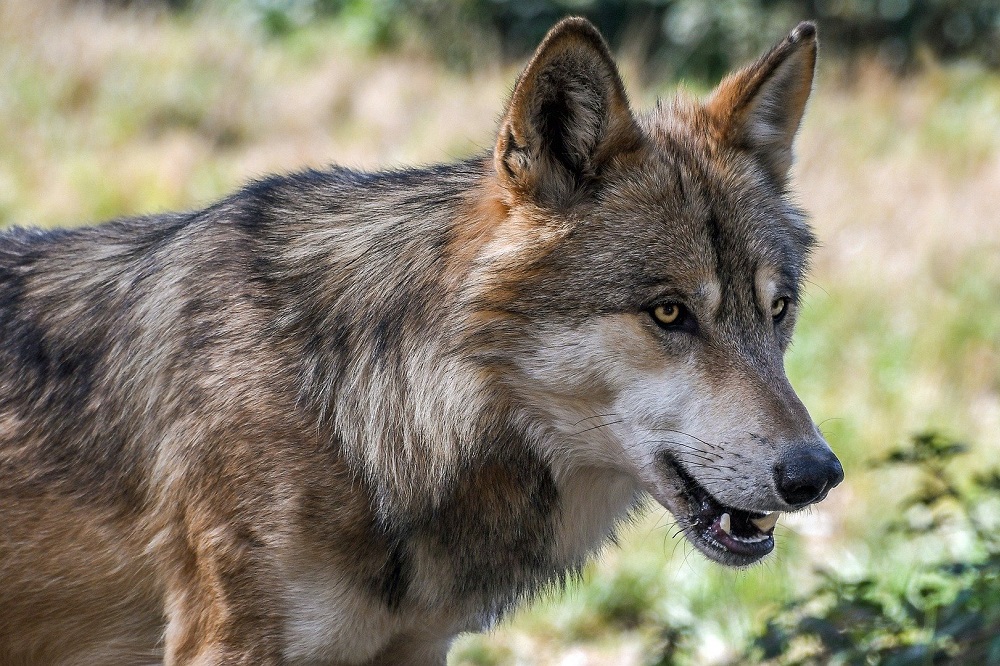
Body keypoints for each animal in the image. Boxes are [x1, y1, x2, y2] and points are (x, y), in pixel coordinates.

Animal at [0, 15, 844, 664]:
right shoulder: (227, 643)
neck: (355, 414)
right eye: (669, 314)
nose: (817, 474)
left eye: (777, 310)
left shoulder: (417, 647)